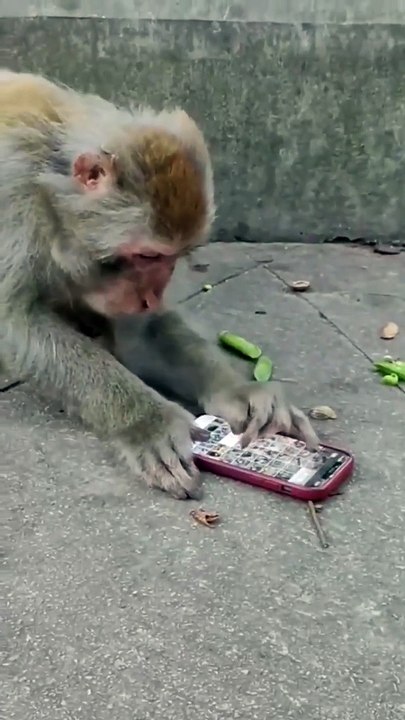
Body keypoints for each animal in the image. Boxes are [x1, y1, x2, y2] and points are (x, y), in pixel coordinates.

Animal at [0, 69, 319, 500]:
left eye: (172, 258)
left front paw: (241, 394)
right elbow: (16, 320)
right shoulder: (12, 210)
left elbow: (142, 333)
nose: (151, 296)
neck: (49, 194)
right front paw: (147, 422)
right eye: (148, 255)